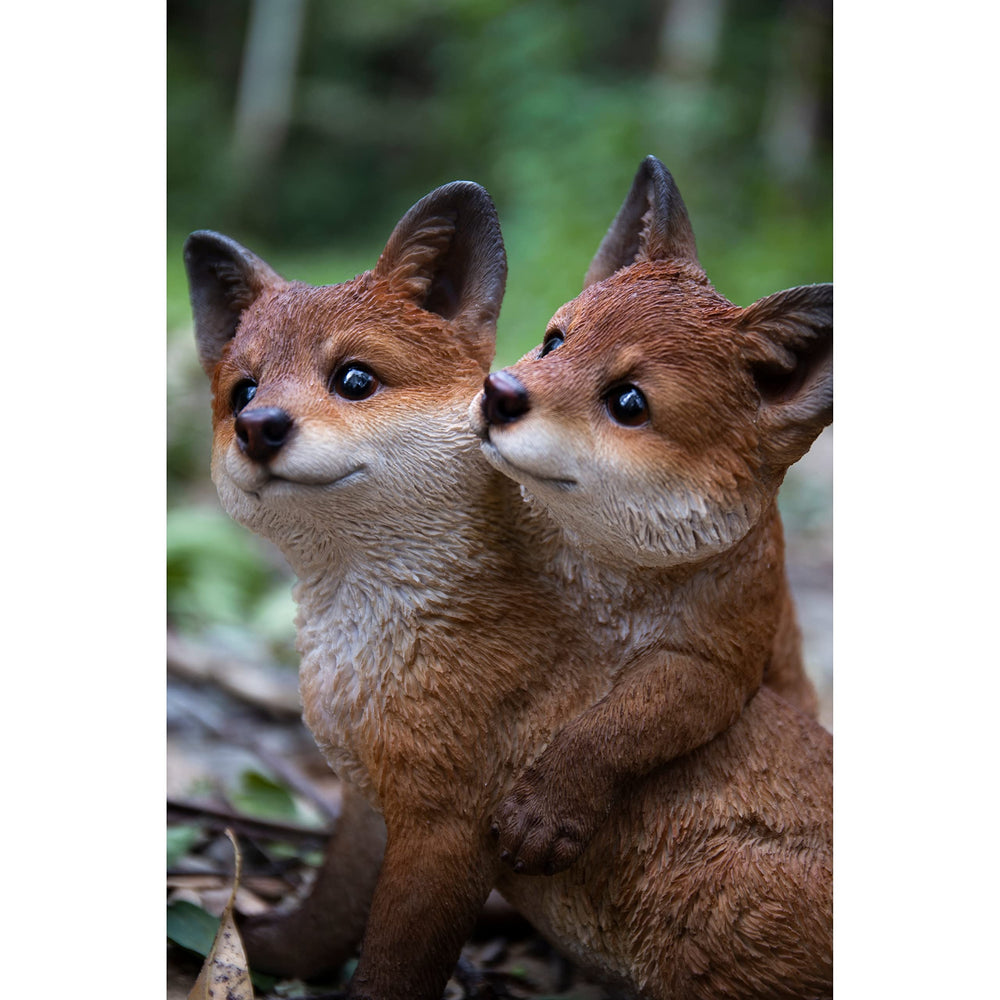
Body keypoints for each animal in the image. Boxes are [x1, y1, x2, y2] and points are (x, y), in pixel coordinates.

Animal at [184, 170, 831, 999]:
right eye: (241, 391)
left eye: (354, 379)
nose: (259, 426)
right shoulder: (368, 802)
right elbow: (324, 919)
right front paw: (251, 945)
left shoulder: (448, 828)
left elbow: (392, 966)